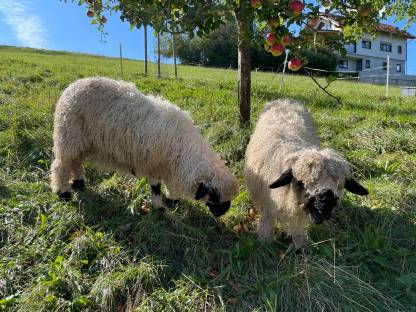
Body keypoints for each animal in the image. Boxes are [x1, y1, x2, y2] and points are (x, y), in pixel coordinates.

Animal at [49, 76, 237, 217]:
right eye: (216, 197)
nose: (221, 215)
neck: (183, 152)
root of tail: (72, 86)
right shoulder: (154, 165)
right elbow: (156, 188)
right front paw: (160, 208)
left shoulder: (168, 167)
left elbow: (170, 187)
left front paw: (172, 201)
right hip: (68, 135)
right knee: (61, 165)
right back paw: (63, 193)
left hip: (80, 142)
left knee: (76, 162)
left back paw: (79, 184)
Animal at [244, 98, 368, 247]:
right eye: (302, 182)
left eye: (339, 184)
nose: (325, 206)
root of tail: (286, 100)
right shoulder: (266, 203)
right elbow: (267, 223)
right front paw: (264, 241)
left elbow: (298, 230)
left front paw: (300, 244)